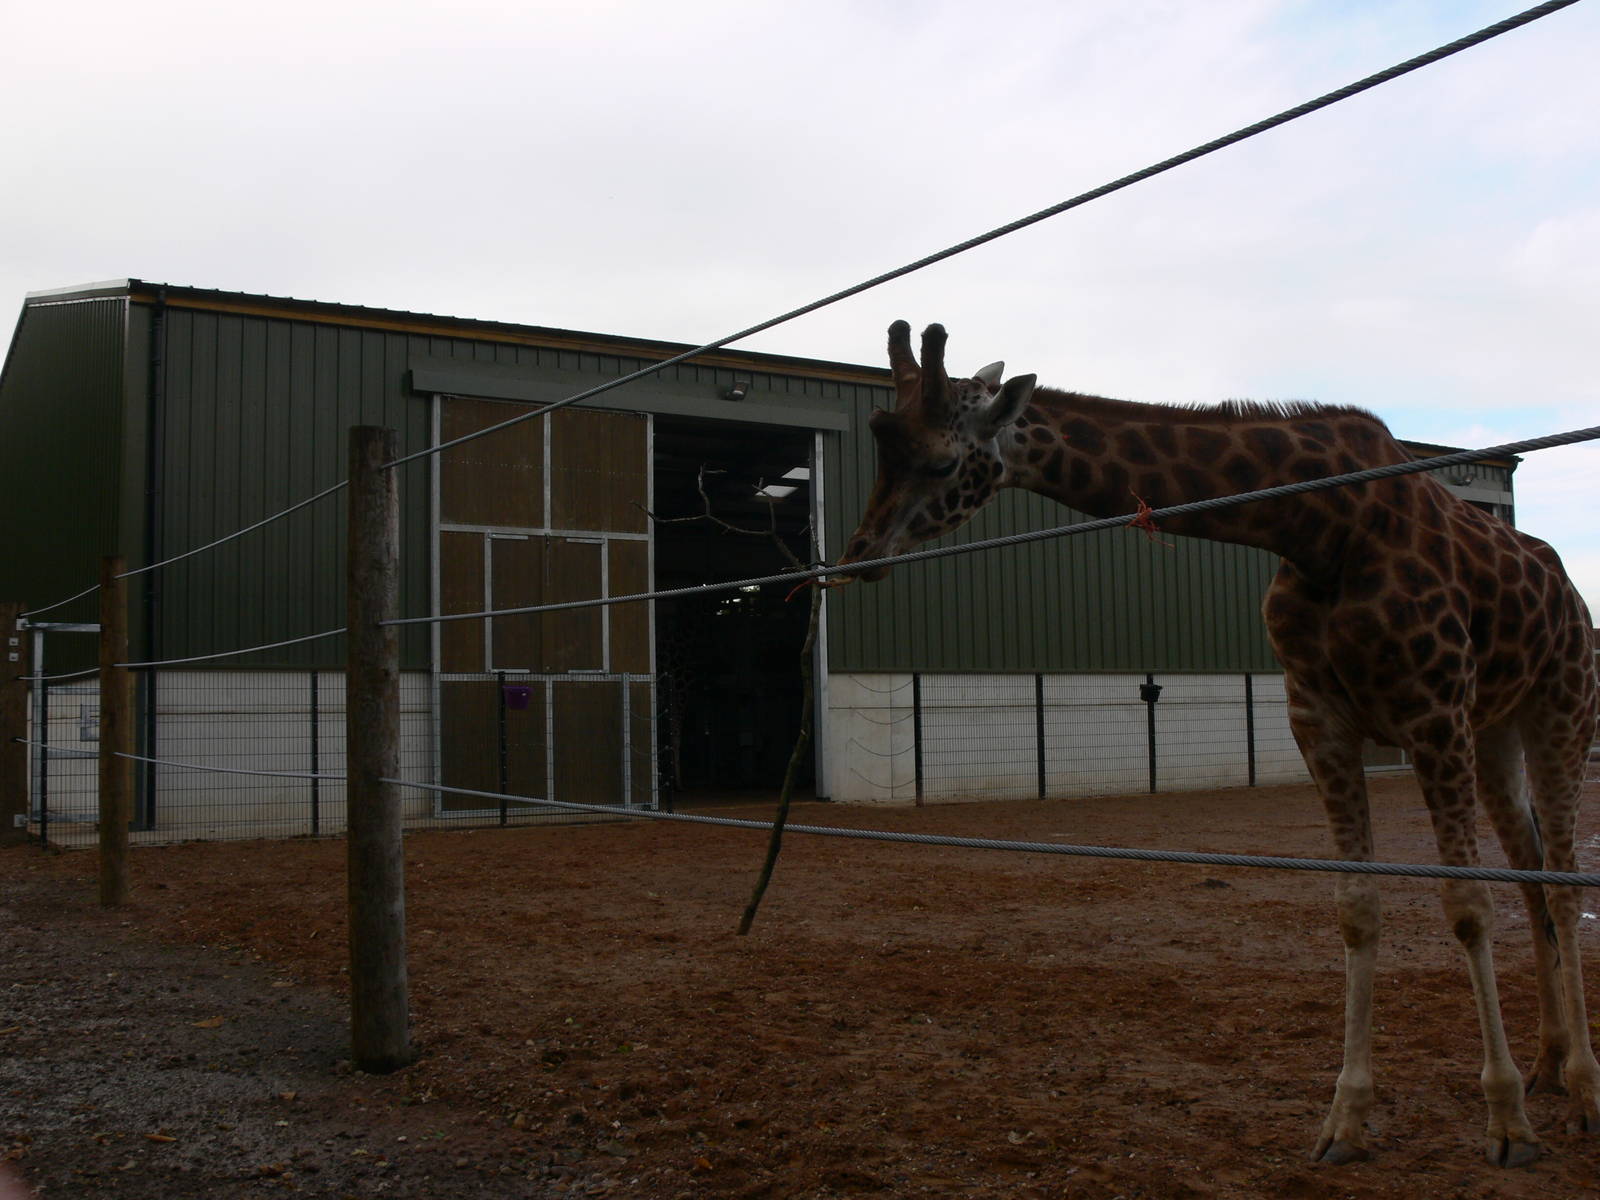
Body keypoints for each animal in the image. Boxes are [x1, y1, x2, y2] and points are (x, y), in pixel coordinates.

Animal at [836, 320, 1600, 1166]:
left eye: (941, 460)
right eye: (881, 446)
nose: (858, 553)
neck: (1321, 525)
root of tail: (1570, 591)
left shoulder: (1431, 709)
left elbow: (1465, 905)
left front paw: (1506, 1123)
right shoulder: (1320, 719)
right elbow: (1358, 907)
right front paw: (1346, 1117)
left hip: (1562, 705)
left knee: (1563, 880)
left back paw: (1580, 1091)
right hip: (1496, 727)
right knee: (1532, 868)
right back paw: (1548, 1064)